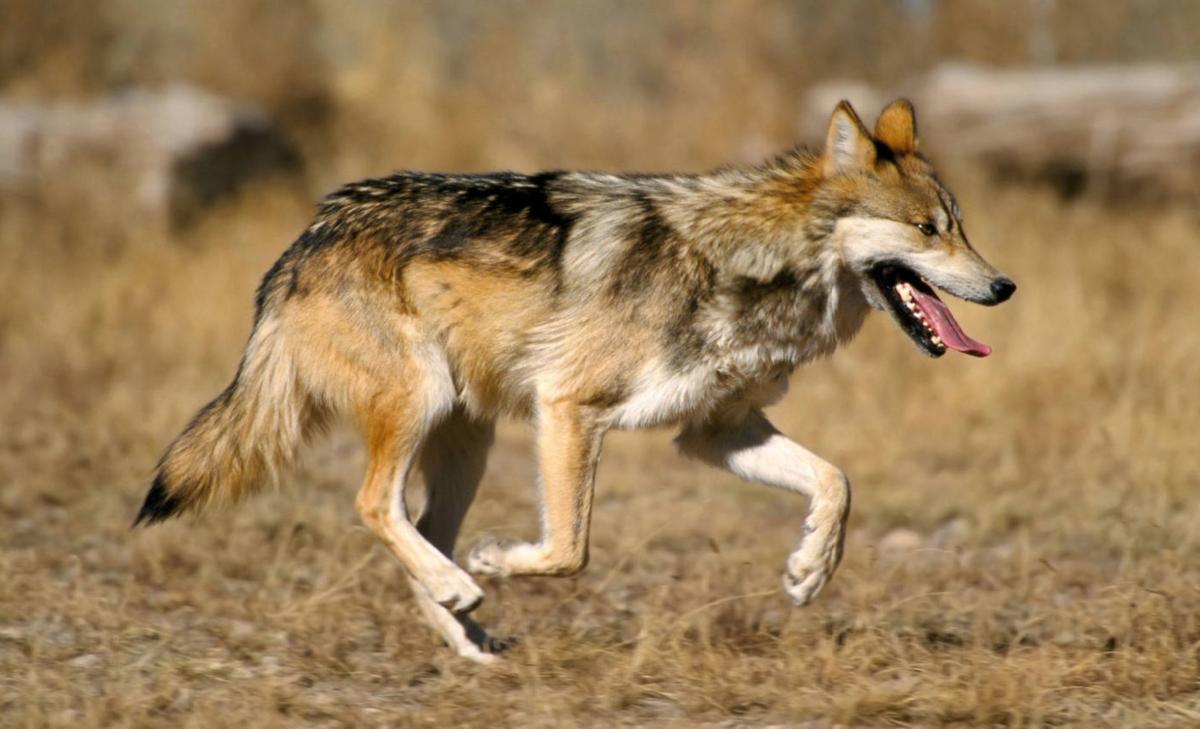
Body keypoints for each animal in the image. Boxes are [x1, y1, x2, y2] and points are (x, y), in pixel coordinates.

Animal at [135, 99, 1015, 662]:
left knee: (419, 528)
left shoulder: (715, 432)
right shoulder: (569, 408)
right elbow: (569, 550)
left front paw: (809, 569)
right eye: (928, 230)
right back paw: (465, 584)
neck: (750, 264)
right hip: (424, 405)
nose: (1004, 285)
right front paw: (498, 561)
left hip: (468, 441)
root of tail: (306, 237)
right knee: (375, 505)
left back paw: (468, 634)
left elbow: (836, 482)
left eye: (961, 227)